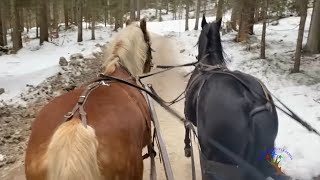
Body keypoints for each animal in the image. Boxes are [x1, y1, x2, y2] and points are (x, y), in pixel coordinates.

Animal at [184, 14, 282, 179]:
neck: (209, 62)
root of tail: (252, 103)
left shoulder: (187, 115)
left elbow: (185, 125)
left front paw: (186, 148)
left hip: (214, 158)